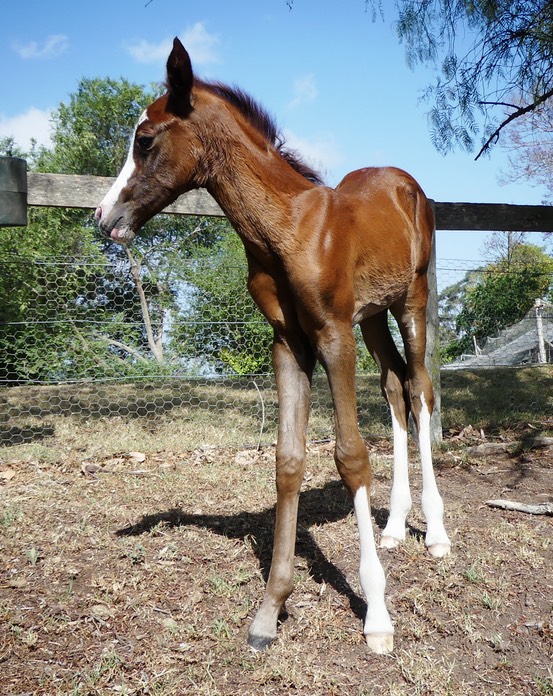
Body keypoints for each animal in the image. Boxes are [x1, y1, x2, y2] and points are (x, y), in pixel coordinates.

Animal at [95, 36, 448, 652]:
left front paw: (377, 614)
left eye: (145, 140)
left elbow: (350, 456)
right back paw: (395, 526)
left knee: (421, 389)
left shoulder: (332, 333)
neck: (288, 227)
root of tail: (403, 179)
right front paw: (269, 610)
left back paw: (436, 532)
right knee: (395, 387)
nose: (103, 216)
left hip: (412, 301)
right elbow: (287, 459)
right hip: (373, 317)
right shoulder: (289, 342)